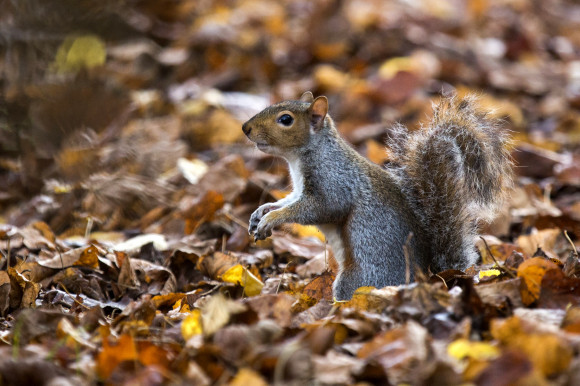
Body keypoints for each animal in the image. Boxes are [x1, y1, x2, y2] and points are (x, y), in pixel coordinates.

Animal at [240, 92, 512, 300]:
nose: (245, 128)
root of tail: (430, 276)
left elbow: (321, 208)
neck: (303, 156)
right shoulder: (298, 190)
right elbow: (288, 201)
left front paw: (272, 219)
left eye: (285, 119)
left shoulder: (335, 183)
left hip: (359, 278)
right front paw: (262, 211)